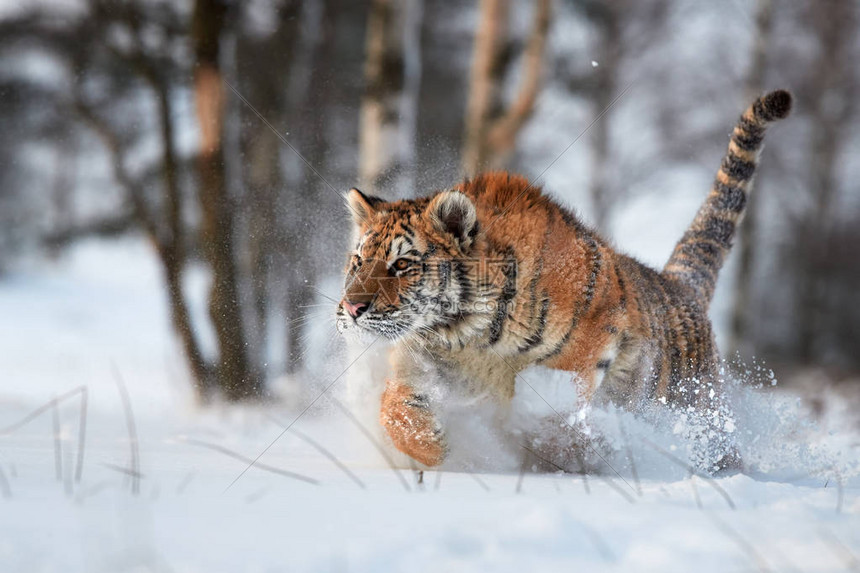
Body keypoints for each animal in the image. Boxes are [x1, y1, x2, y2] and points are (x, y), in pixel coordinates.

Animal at [336, 88, 792, 470]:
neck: (467, 332)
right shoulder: (421, 356)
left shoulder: (593, 339)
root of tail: (681, 286)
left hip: (701, 409)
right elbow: (394, 403)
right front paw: (431, 448)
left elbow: (564, 401)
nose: (352, 308)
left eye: (402, 265)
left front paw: (559, 444)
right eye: (358, 262)